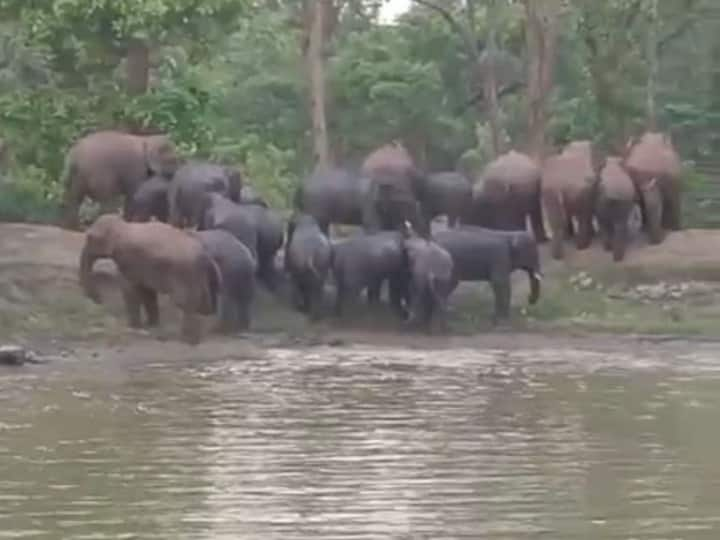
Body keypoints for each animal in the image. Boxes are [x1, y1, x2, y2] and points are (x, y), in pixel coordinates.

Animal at [79, 213, 219, 344]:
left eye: (89, 237)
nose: (99, 300)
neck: (123, 225)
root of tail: (205, 256)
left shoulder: (128, 260)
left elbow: (130, 290)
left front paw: (134, 327)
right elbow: (147, 292)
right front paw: (151, 325)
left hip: (185, 273)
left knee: (184, 303)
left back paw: (189, 340)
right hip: (198, 276)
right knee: (202, 302)